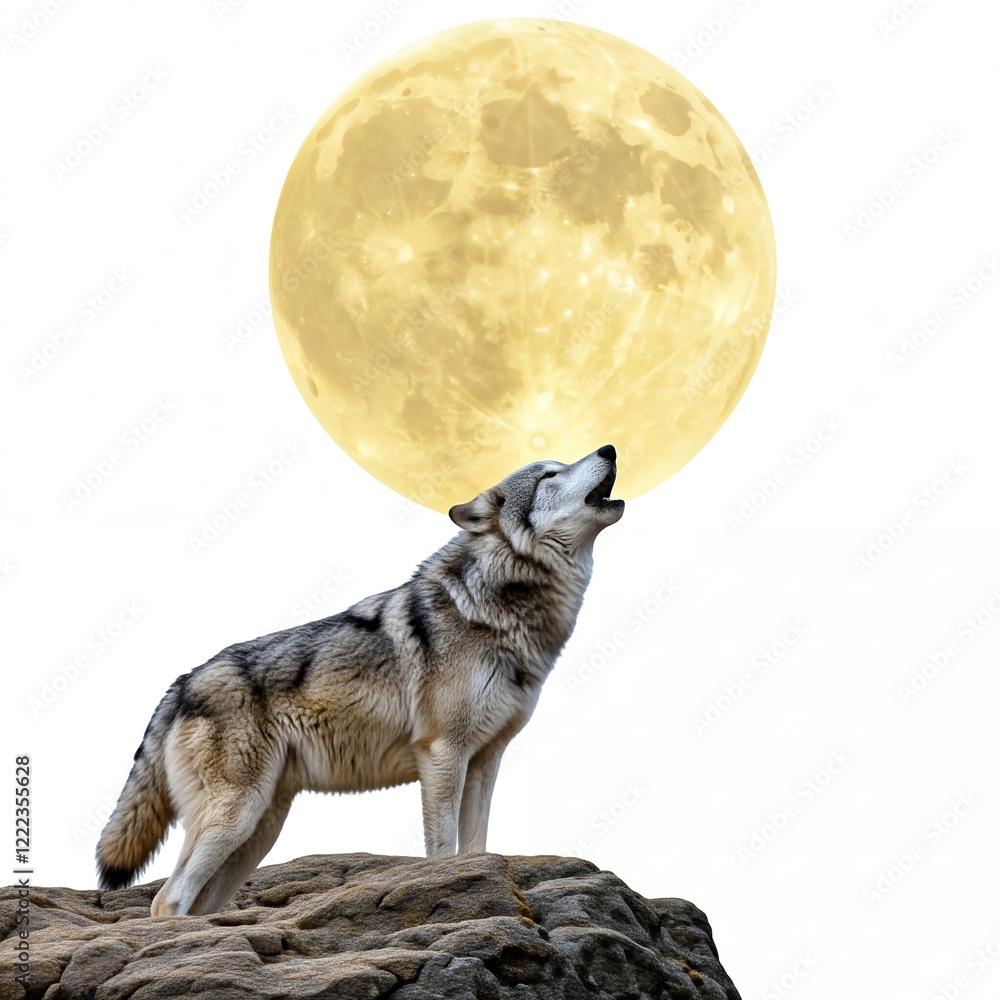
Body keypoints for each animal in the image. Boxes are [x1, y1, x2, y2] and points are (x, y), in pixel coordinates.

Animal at [96, 445, 624, 916]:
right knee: (166, 900)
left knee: (193, 903)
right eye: (549, 475)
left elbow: (477, 847)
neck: (499, 608)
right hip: (236, 817)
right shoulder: (442, 753)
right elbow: (443, 847)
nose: (610, 448)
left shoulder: (484, 759)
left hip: (256, 832)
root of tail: (183, 681)